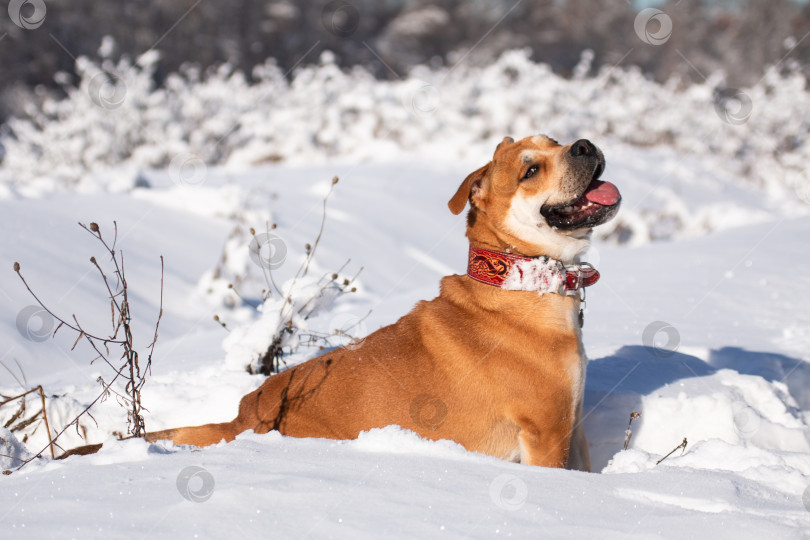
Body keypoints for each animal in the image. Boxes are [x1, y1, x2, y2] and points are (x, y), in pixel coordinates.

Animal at [144, 136, 620, 472]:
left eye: (553, 139)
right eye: (531, 170)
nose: (583, 144)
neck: (521, 279)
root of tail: (242, 418)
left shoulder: (573, 427)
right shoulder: (547, 432)